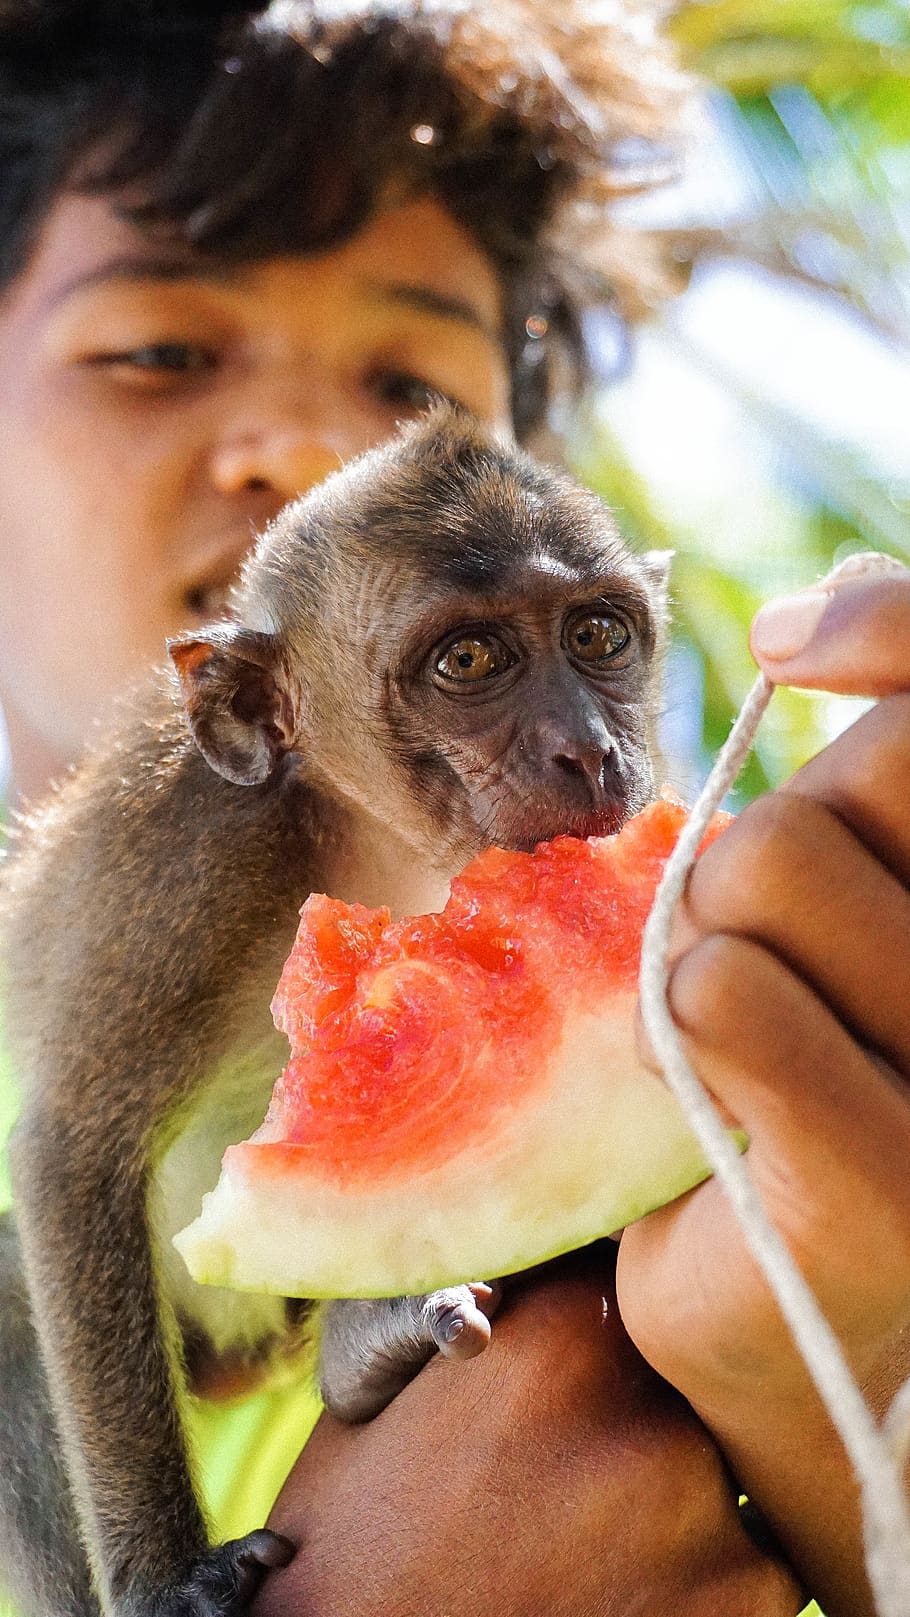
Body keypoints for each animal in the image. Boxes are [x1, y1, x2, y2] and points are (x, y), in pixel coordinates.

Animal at [0, 407, 670, 1617]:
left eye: (599, 635)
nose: (591, 749)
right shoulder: (198, 855)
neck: (380, 840)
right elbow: (75, 1148)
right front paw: (166, 1574)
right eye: (469, 661)